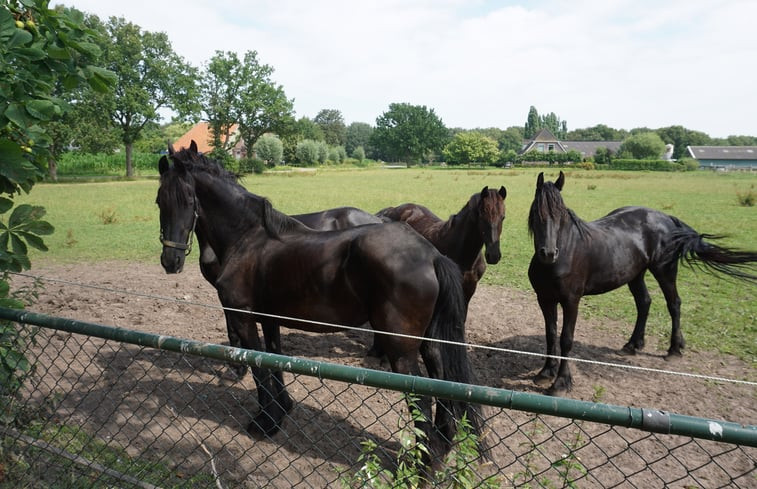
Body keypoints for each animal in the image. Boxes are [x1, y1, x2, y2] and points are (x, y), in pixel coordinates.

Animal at [157, 141, 482, 458]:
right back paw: (442, 448)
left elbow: (259, 367)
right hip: (430, 344)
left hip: (401, 350)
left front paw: (264, 423)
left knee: (421, 400)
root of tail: (431, 254)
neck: (248, 239)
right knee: (441, 386)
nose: (170, 261)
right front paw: (281, 412)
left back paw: (425, 464)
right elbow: (274, 359)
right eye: (160, 201)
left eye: (189, 201)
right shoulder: (270, 318)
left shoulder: (243, 317)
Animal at [524, 170, 756, 394]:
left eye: (561, 215)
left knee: (674, 304)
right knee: (644, 302)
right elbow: (551, 335)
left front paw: (561, 383)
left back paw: (673, 350)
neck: (564, 255)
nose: (548, 253)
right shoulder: (545, 299)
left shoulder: (572, 301)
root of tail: (667, 219)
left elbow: (566, 339)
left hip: (664, 271)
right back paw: (633, 345)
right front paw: (546, 372)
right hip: (635, 275)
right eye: (536, 213)